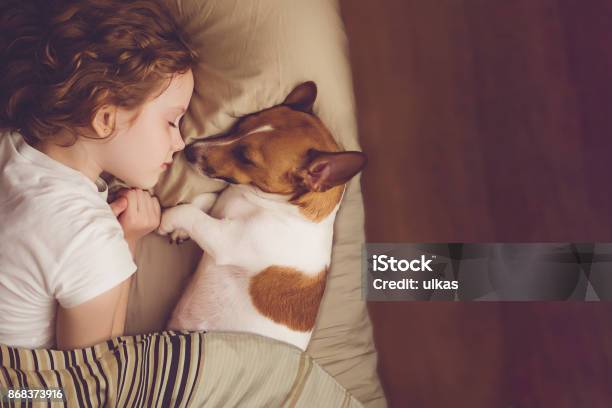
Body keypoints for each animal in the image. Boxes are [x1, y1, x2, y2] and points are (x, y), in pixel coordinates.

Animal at [158, 81, 368, 350]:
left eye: (246, 157)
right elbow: (203, 201)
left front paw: (167, 220)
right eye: (240, 124)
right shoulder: (221, 207)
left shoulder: (226, 241)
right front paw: (180, 231)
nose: (189, 150)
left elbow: (191, 213)